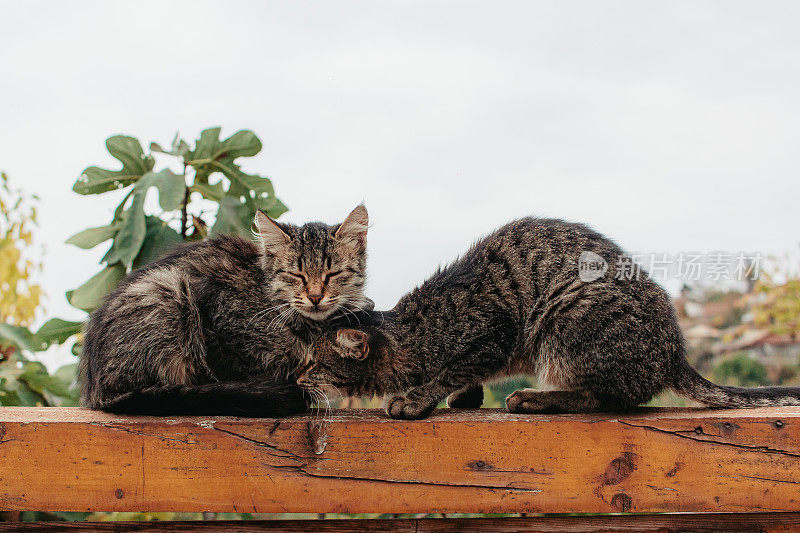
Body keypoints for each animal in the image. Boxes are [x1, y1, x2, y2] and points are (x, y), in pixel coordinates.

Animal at [78, 204, 372, 416]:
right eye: (296, 275)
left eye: (333, 274)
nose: (315, 296)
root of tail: (95, 391)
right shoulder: (220, 319)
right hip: (169, 291)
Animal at [298, 217, 800, 420]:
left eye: (313, 364)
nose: (298, 378)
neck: (418, 332)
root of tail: (676, 350)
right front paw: (466, 396)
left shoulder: (495, 331)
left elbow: (453, 368)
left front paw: (419, 397)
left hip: (565, 319)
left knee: (603, 398)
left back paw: (534, 398)